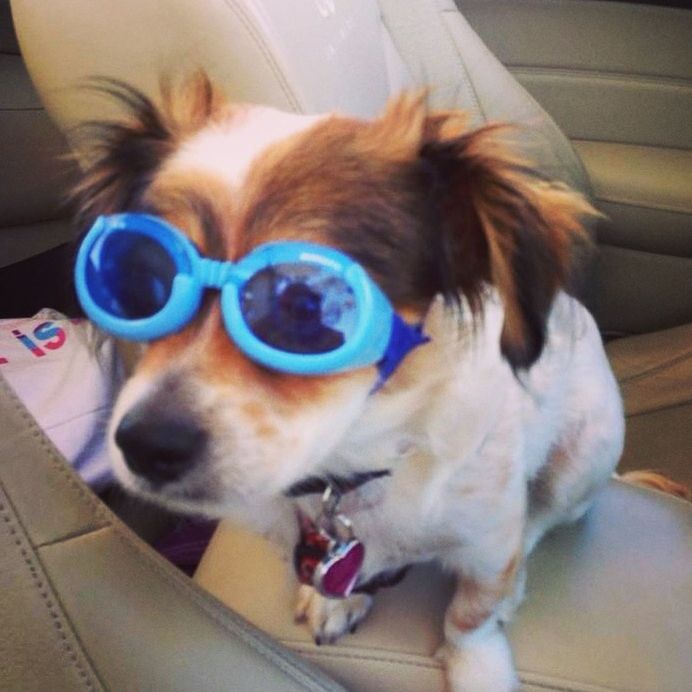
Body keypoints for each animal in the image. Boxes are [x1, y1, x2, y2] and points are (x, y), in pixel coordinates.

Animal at [75, 73, 628, 688]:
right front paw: (337, 598)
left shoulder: (488, 542)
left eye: (307, 305)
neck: (354, 470)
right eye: (138, 284)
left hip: (585, 457)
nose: (147, 445)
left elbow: (471, 615)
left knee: (542, 519)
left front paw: (479, 667)